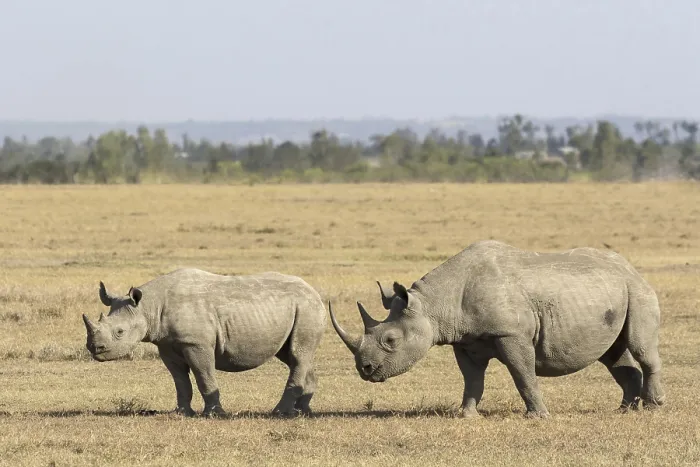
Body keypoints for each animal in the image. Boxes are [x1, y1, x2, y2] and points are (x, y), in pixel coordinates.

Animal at [82, 268, 326, 417]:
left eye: (120, 332)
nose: (96, 349)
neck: (149, 307)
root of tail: (315, 292)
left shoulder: (195, 343)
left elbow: (203, 376)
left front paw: (214, 414)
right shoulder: (167, 345)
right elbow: (180, 381)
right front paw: (182, 413)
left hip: (307, 309)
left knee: (297, 355)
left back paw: (280, 413)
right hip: (297, 309)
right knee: (294, 356)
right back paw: (301, 412)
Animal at [329, 240, 665, 418]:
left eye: (390, 340)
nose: (365, 369)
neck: (434, 303)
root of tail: (631, 267)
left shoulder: (511, 335)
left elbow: (523, 375)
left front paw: (537, 416)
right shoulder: (464, 340)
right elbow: (472, 379)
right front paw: (465, 415)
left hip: (636, 290)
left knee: (640, 347)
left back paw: (653, 407)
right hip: (609, 292)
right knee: (613, 354)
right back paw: (624, 410)